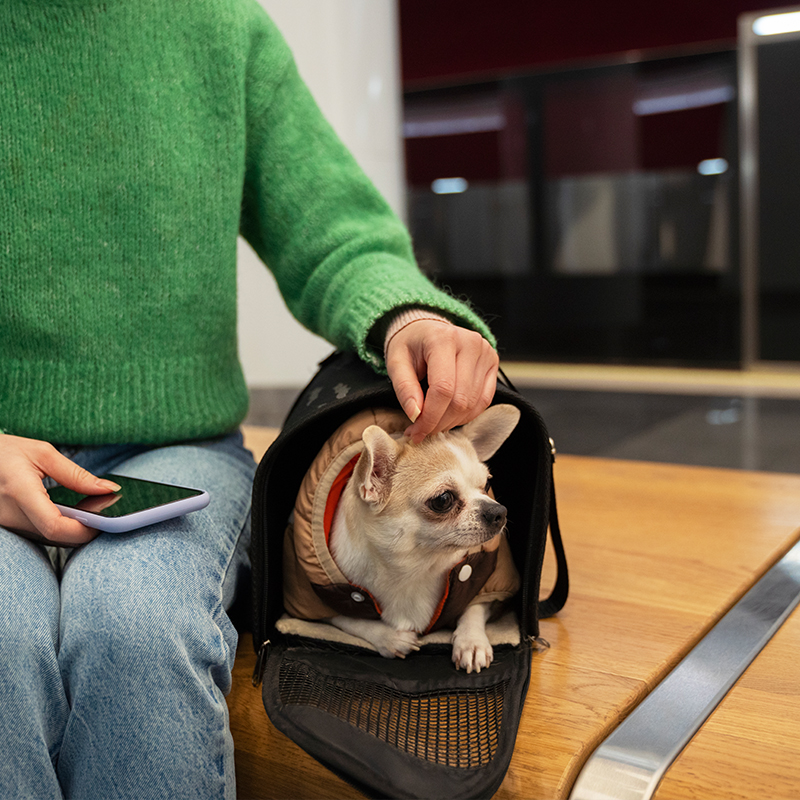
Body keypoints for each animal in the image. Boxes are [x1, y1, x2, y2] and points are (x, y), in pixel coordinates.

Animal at [322, 404, 520, 672]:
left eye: (487, 484)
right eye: (443, 499)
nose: (499, 511)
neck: (416, 565)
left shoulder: (487, 587)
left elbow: (473, 607)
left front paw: (471, 642)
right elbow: (348, 618)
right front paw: (390, 637)